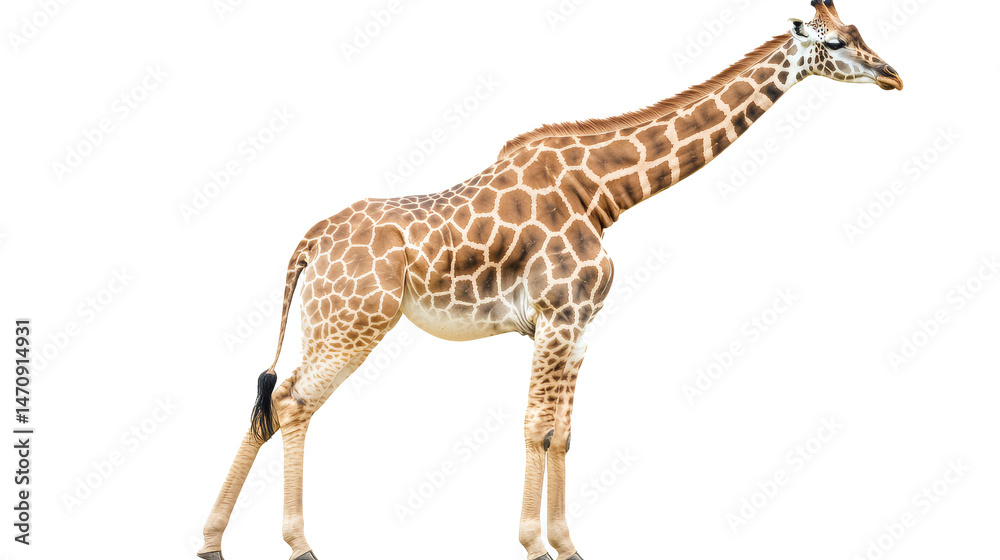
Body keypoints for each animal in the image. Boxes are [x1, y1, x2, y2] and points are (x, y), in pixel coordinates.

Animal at [198, 2, 901, 559]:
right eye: (837, 43)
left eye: (859, 29)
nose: (893, 75)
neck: (605, 191)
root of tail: (310, 241)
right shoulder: (557, 316)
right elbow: (535, 425)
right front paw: (535, 546)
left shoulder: (580, 325)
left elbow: (561, 433)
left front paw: (567, 545)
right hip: (354, 322)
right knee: (293, 402)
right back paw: (299, 544)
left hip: (331, 321)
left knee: (272, 401)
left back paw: (212, 542)